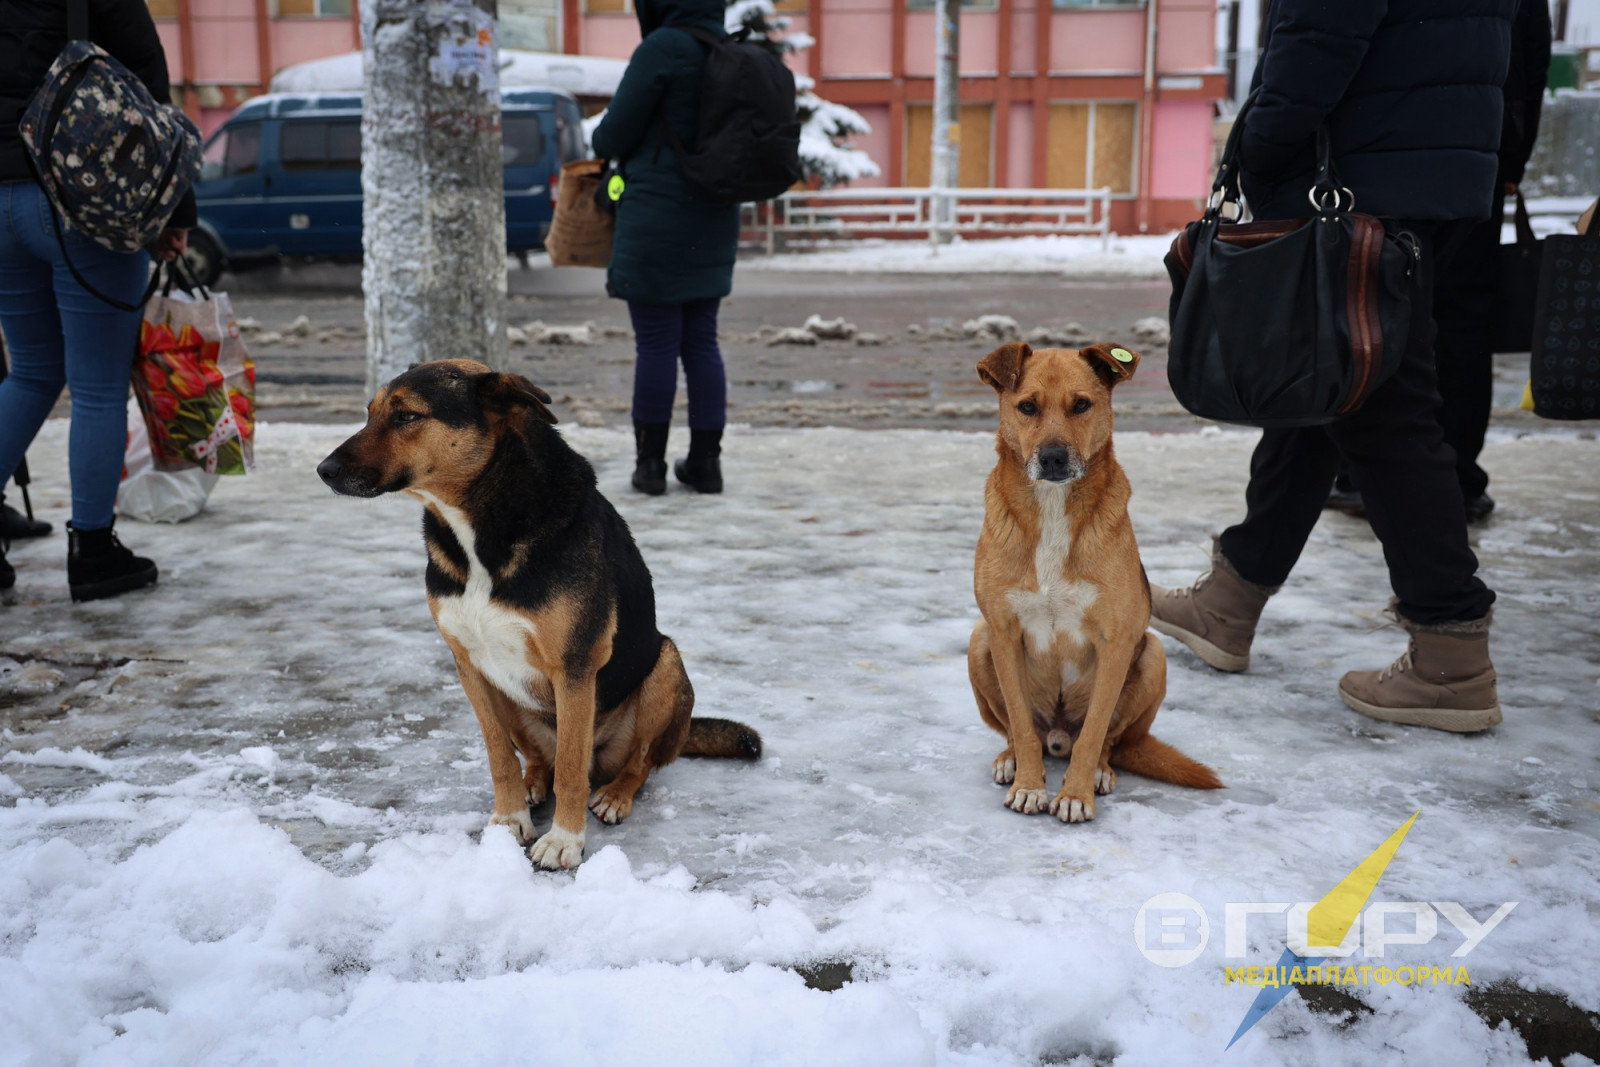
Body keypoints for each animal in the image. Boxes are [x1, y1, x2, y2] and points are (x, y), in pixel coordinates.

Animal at [318, 363, 761, 870]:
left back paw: (615, 794)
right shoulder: (470, 666)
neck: (477, 529)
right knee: (537, 758)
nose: (324, 471)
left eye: (406, 415)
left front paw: (564, 841)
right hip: (512, 698)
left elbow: (570, 768)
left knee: (638, 763)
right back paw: (534, 783)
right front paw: (509, 819)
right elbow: (499, 756)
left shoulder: (574, 668)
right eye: (369, 413)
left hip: (665, 665)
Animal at [960, 343, 1222, 825]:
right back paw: (1010, 760)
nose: (1053, 458)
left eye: (1081, 405)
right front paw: (1030, 785)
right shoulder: (1003, 631)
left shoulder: (1116, 642)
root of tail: (1058, 736)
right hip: (979, 639)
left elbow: (1097, 730)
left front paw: (1076, 794)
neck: (1052, 508)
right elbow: (1020, 724)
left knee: (1107, 741)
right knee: (1016, 730)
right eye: (1027, 407)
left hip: (1152, 653)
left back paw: (1099, 770)